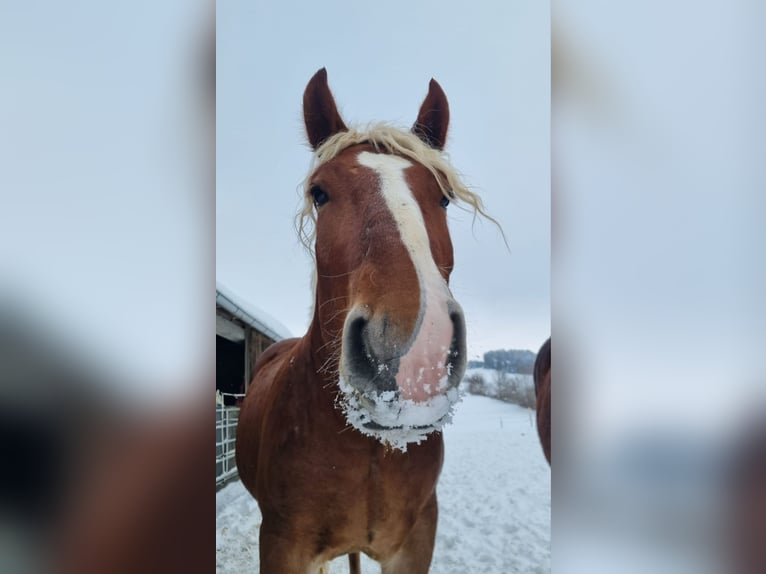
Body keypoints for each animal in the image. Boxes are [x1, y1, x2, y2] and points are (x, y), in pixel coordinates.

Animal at [237, 70, 486, 572]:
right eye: (320, 192)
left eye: (445, 198)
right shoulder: (282, 546)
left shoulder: (414, 545)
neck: (368, 451)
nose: (415, 358)